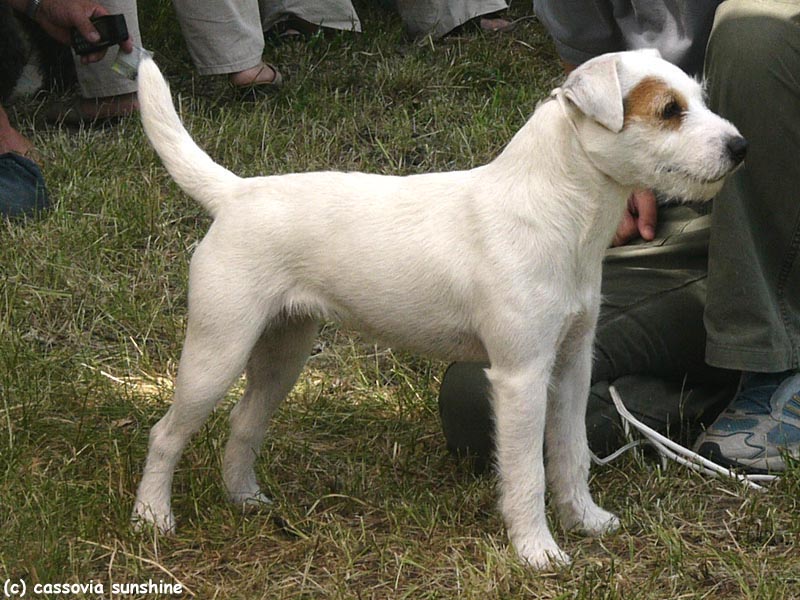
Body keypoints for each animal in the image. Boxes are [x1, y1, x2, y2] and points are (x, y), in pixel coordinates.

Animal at [130, 50, 744, 568]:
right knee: (165, 434)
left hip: (283, 353)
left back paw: (245, 499)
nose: (740, 146)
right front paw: (538, 552)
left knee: (244, 423)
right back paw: (152, 517)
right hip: (217, 350)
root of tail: (235, 194)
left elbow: (571, 454)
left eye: (700, 97)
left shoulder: (571, 365)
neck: (554, 209)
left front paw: (584, 521)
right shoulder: (521, 377)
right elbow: (527, 473)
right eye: (669, 111)